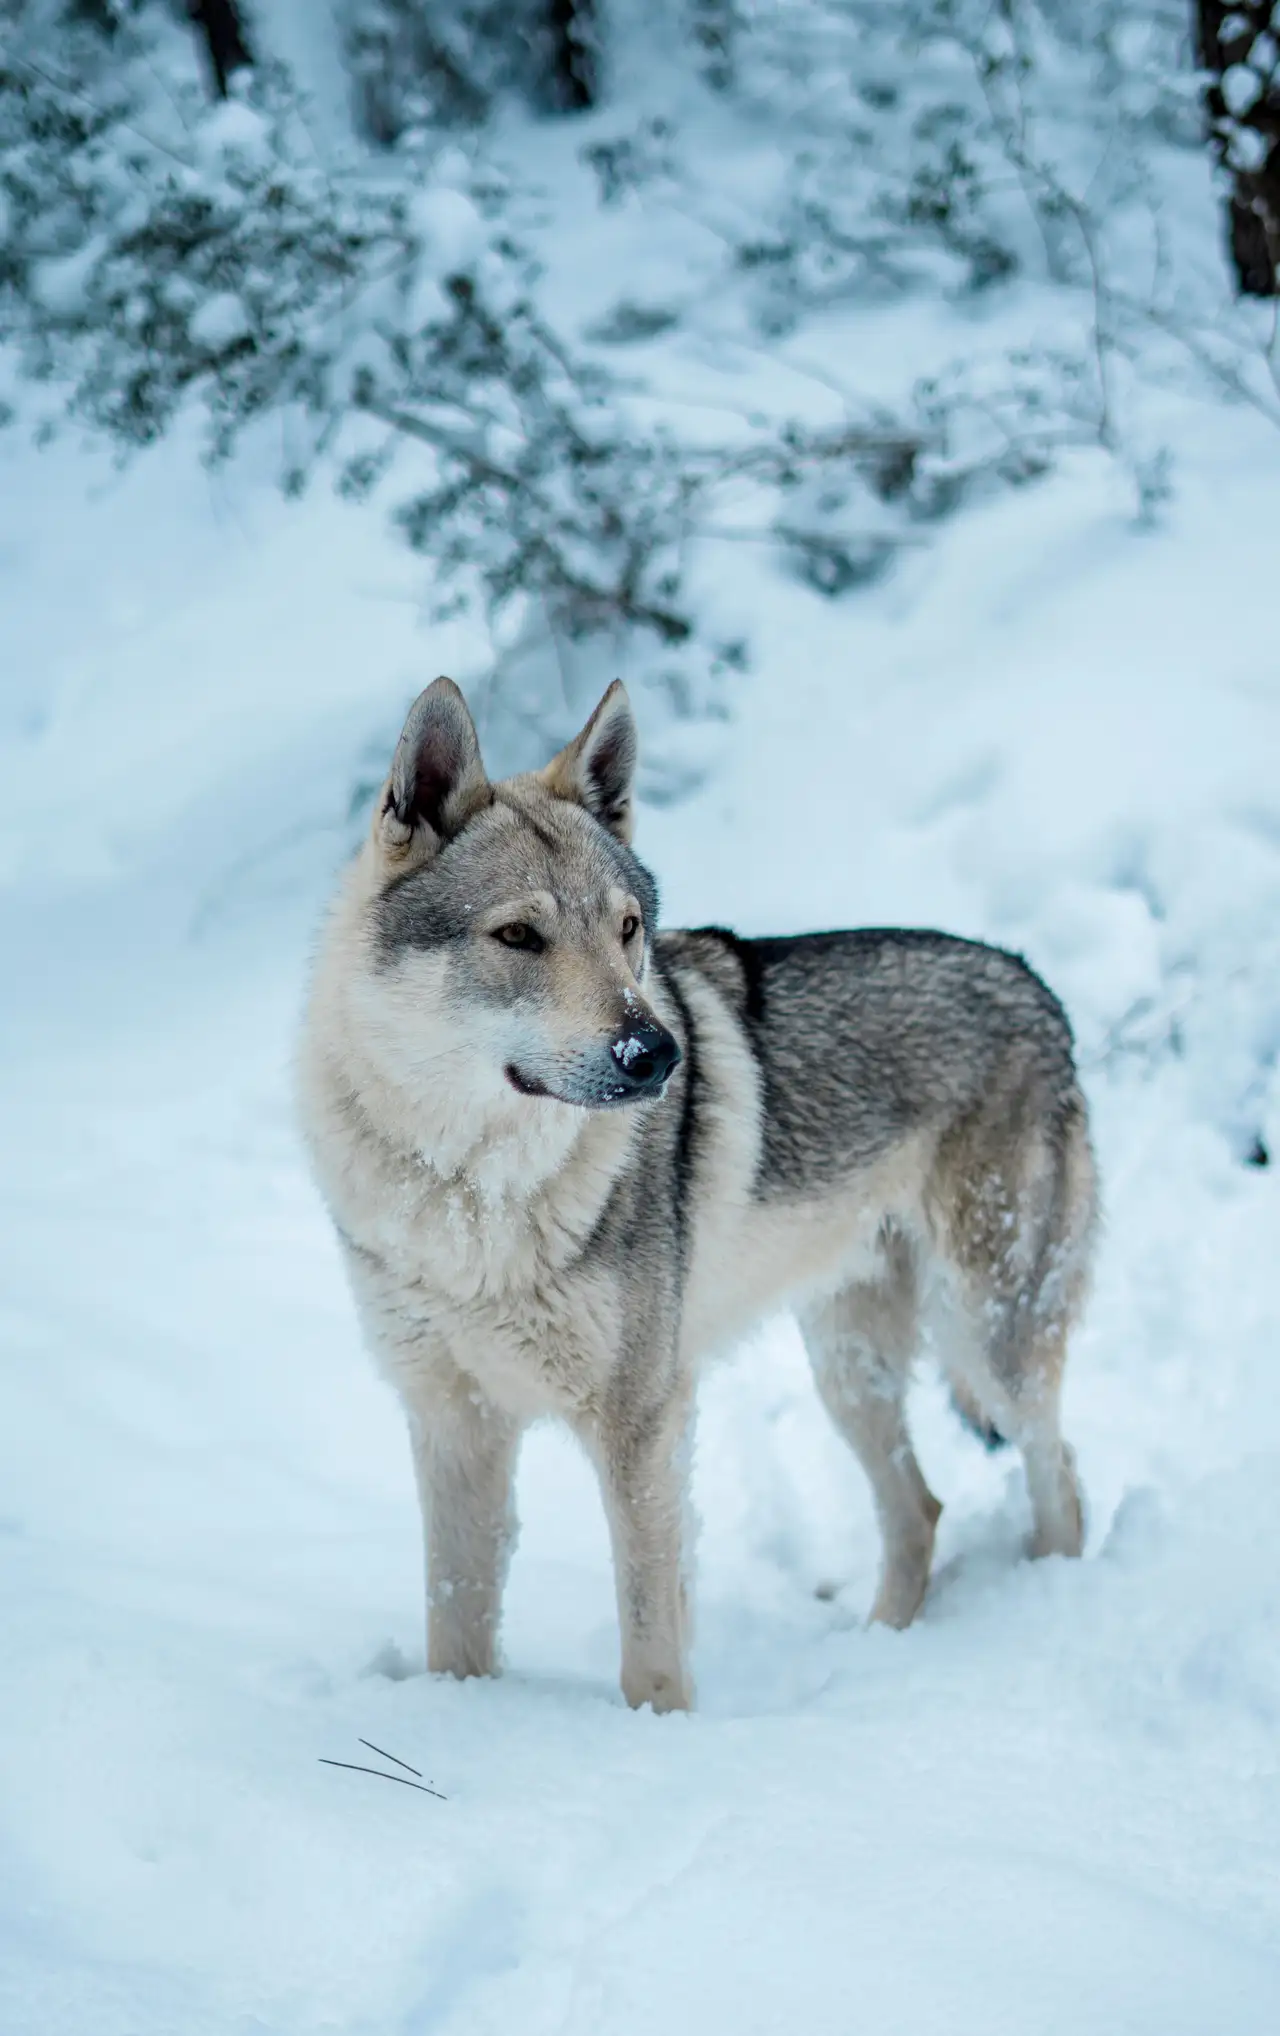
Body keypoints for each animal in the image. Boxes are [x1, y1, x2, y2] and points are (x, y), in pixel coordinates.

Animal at [298, 677, 1096, 1712]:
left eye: (627, 929)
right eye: (518, 936)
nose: (658, 1054)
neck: (472, 1193)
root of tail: (1040, 988)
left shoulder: (642, 1422)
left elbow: (651, 1641)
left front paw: (657, 1737)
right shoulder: (451, 1422)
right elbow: (455, 1627)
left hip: (989, 1338)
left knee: (1059, 1476)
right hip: (850, 1368)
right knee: (920, 1508)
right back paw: (880, 1651)